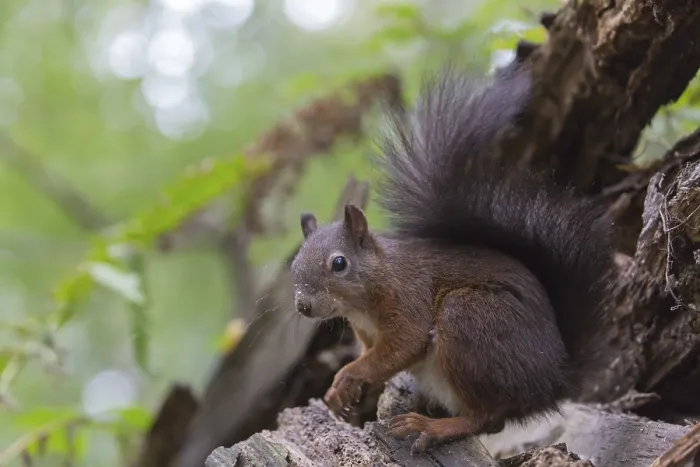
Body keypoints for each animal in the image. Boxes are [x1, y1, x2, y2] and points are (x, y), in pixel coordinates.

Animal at [290, 63, 615, 455]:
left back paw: (431, 427)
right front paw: (343, 389)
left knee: (484, 417)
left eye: (339, 264)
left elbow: (402, 347)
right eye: (294, 266)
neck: (369, 292)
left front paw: (347, 375)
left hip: (470, 319)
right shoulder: (365, 333)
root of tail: (553, 381)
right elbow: (372, 354)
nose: (304, 306)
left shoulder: (409, 299)